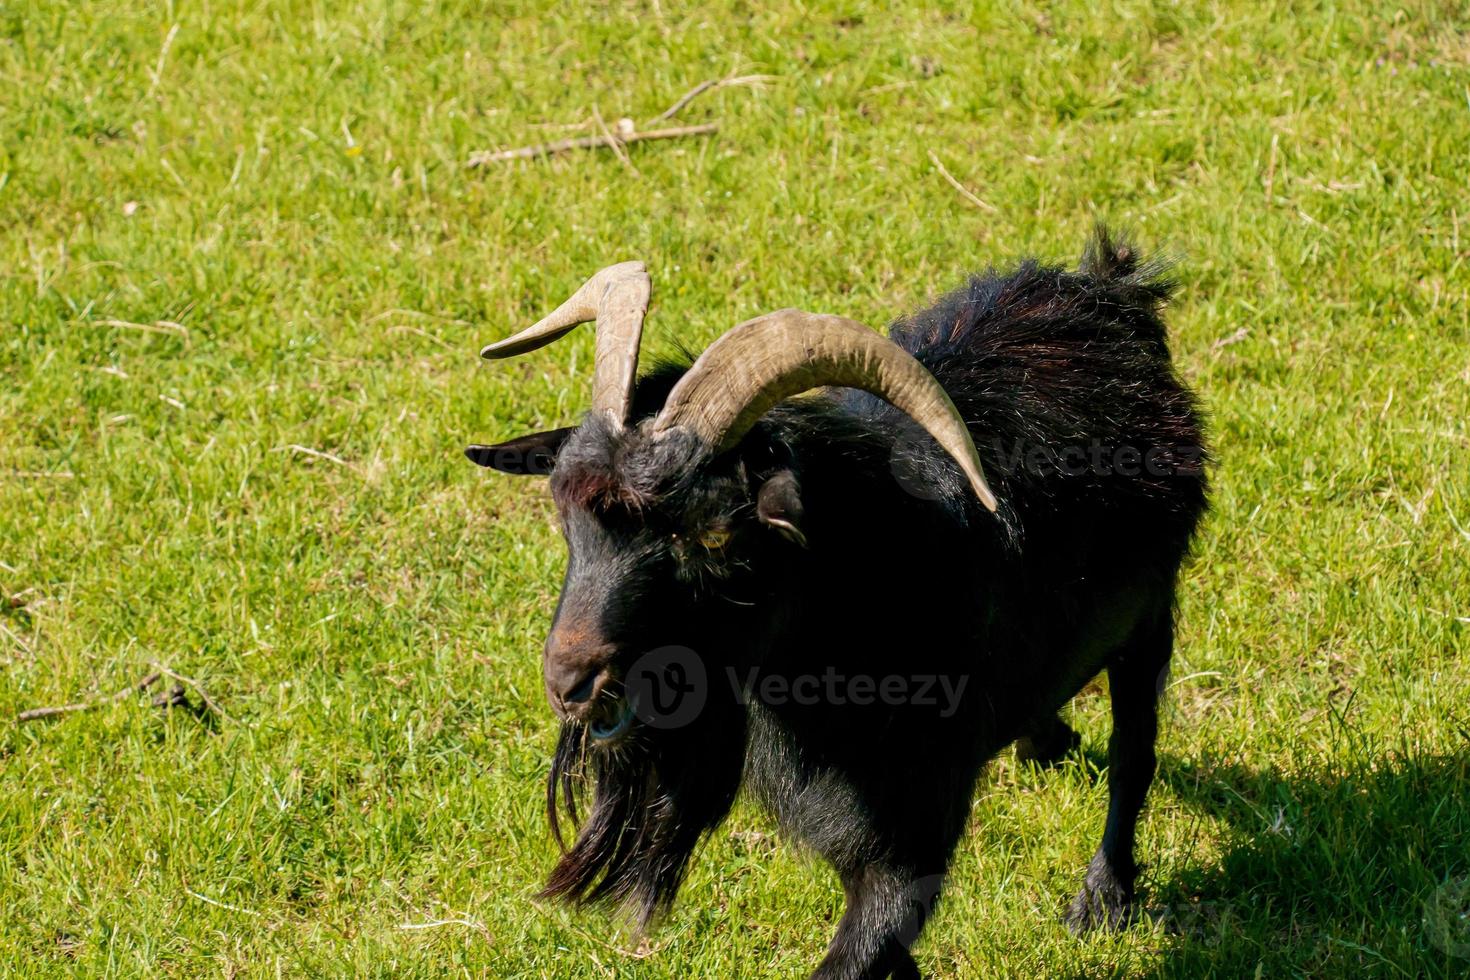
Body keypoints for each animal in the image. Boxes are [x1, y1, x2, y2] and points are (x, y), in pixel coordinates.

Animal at [467, 232, 1205, 980]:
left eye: (712, 535)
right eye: (565, 514)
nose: (570, 683)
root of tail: (1112, 287)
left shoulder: (912, 831)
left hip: (1151, 613)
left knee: (1133, 753)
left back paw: (1103, 899)